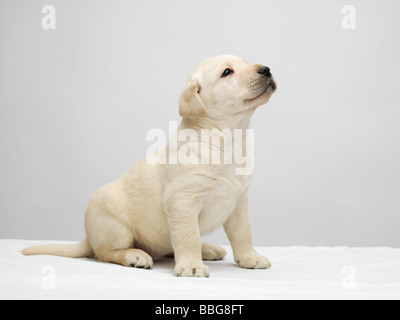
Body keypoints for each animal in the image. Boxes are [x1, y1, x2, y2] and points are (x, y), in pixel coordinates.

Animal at [21, 55, 276, 278]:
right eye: (227, 72)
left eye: (245, 62)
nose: (266, 69)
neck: (226, 138)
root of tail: (88, 238)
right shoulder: (182, 201)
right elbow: (188, 236)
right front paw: (191, 266)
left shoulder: (239, 201)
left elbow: (243, 233)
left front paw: (250, 257)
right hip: (114, 225)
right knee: (104, 252)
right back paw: (135, 255)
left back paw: (208, 248)